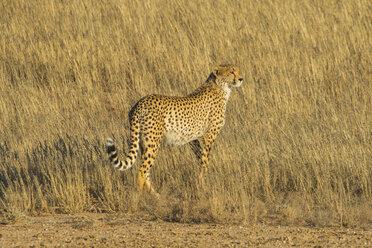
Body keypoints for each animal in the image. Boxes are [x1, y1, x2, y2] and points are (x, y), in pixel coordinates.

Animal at [106, 65, 243, 197]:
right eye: (232, 72)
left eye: (237, 70)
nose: (241, 79)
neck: (221, 86)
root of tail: (140, 103)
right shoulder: (209, 136)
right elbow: (205, 159)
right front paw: (205, 182)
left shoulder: (193, 139)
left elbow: (200, 157)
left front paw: (201, 179)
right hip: (153, 142)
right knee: (141, 172)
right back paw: (141, 198)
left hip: (143, 143)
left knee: (146, 171)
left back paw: (156, 195)